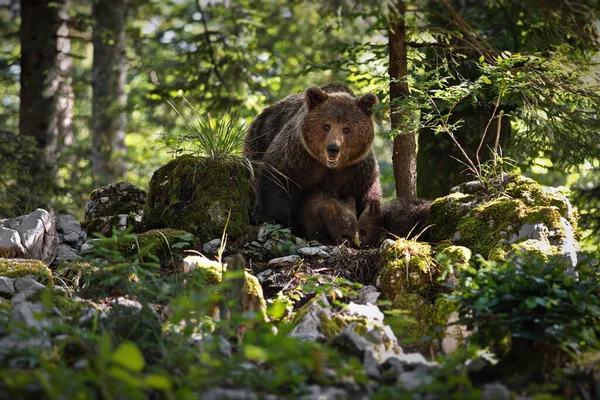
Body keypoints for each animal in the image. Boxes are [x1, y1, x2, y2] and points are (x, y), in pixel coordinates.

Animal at [243, 83, 380, 230]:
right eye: (326, 126)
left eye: (346, 129)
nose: (333, 148)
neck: (328, 167)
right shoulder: (298, 156)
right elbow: (278, 176)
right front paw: (274, 218)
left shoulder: (357, 170)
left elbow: (367, 194)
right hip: (259, 138)